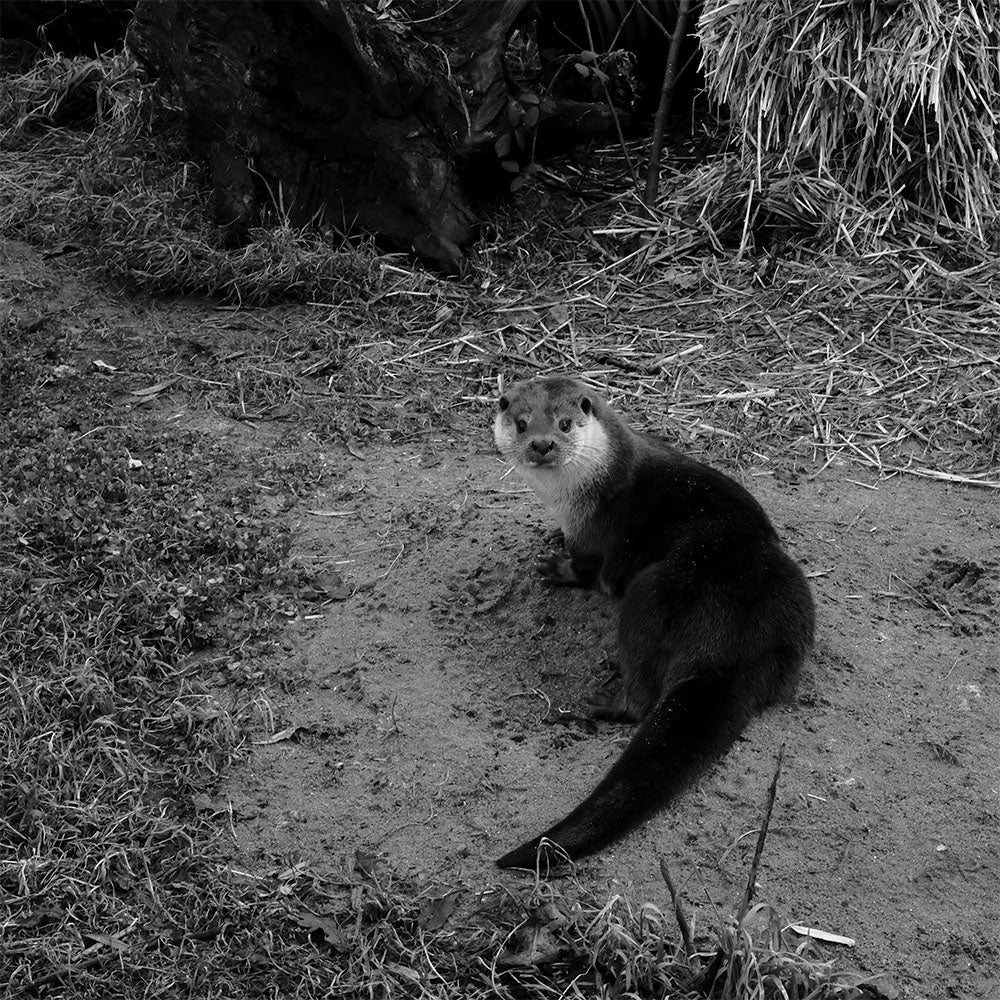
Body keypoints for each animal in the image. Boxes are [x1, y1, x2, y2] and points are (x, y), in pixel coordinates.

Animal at [492, 375, 815, 869]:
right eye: (522, 422)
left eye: (564, 423)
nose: (542, 444)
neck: (586, 489)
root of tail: (732, 641)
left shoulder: (596, 536)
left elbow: (589, 571)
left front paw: (557, 565)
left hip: (651, 597)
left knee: (642, 698)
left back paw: (605, 701)